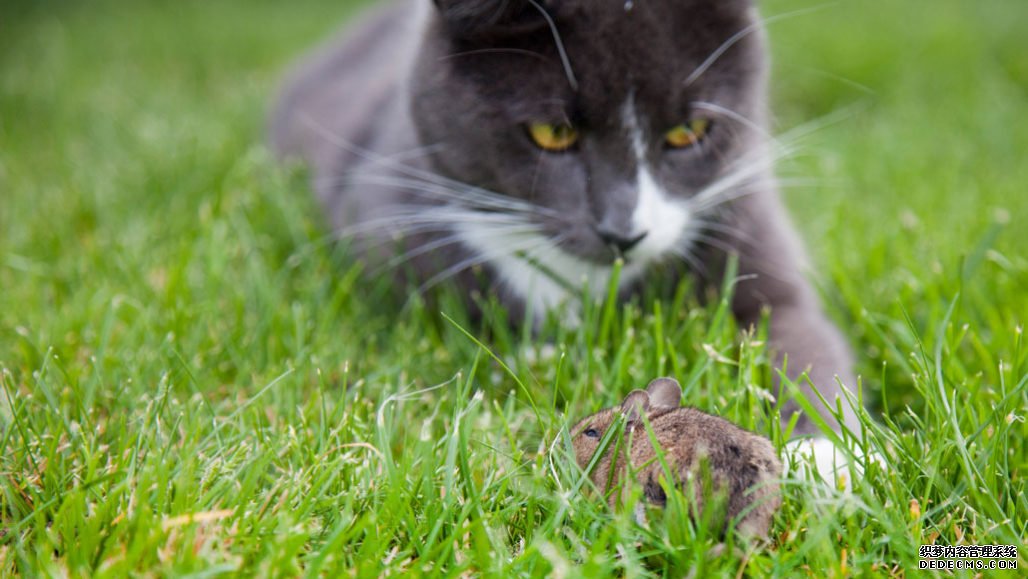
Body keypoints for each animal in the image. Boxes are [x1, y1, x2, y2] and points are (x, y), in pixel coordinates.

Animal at [269, 0, 863, 448]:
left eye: (689, 131)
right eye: (552, 133)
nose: (624, 231)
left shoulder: (745, 218)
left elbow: (798, 331)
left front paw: (825, 459)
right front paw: (538, 356)